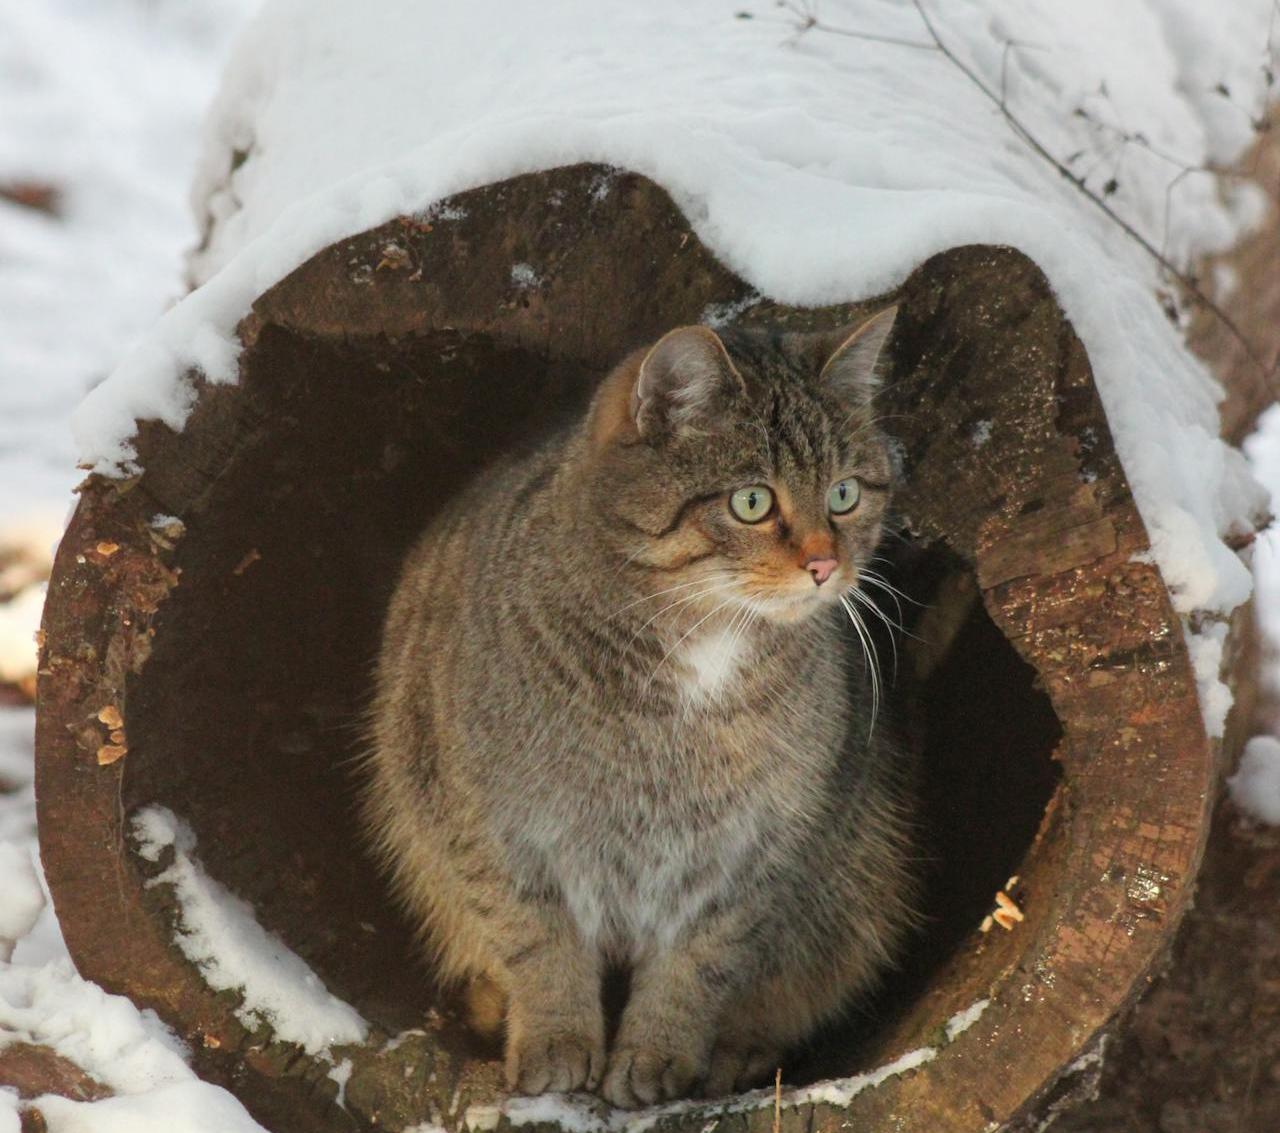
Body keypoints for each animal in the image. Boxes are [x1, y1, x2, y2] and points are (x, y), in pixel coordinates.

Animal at [366, 307, 916, 1106]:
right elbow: (538, 944)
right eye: (751, 501)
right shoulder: (493, 827)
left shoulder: (754, 854)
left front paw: (659, 1053)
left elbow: (698, 966)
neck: (701, 655)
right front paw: (555, 1039)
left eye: (845, 493)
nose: (824, 564)